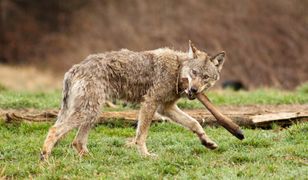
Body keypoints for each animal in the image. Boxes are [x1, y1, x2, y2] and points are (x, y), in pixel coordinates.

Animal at [39, 40, 225, 159]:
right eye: (194, 72)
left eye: (205, 77)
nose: (194, 90)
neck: (177, 69)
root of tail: (74, 68)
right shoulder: (150, 103)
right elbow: (141, 135)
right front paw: (145, 155)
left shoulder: (166, 108)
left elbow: (195, 123)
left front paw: (207, 141)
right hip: (89, 111)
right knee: (54, 130)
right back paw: (45, 159)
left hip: (93, 113)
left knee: (77, 141)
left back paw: (91, 159)